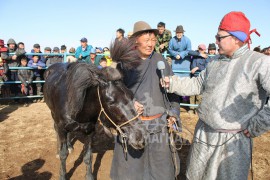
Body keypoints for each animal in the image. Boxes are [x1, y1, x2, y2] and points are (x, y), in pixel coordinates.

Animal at [43, 40, 146, 179]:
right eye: (111, 102)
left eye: (131, 95)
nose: (140, 137)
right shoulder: (61, 127)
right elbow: (64, 155)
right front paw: (63, 174)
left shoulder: (89, 131)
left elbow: (88, 157)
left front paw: (90, 176)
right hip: (53, 115)